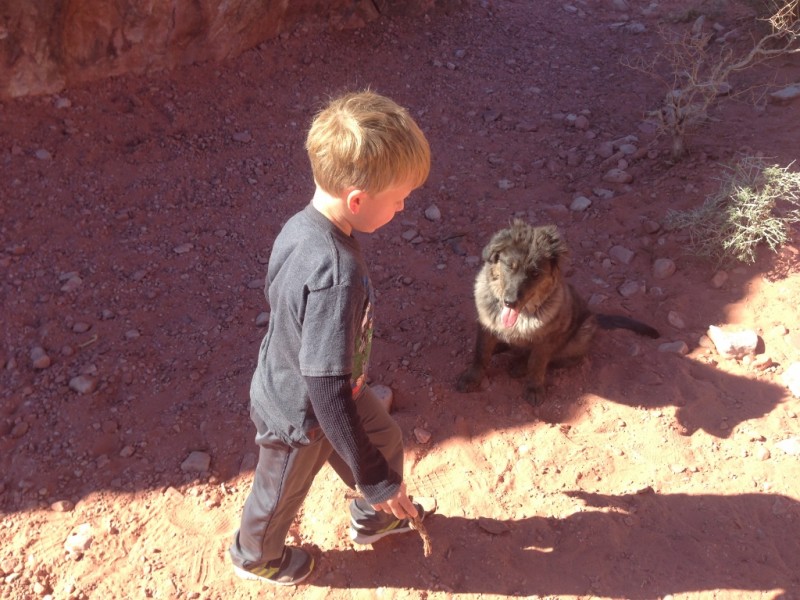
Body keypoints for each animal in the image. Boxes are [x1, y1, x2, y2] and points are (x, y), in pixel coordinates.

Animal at [454, 218, 660, 406]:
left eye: (535, 273)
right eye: (509, 266)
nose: (510, 302)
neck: (523, 315)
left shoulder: (546, 340)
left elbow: (537, 364)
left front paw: (534, 388)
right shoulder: (486, 326)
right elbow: (481, 354)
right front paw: (472, 378)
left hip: (582, 333)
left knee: (557, 359)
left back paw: (519, 366)